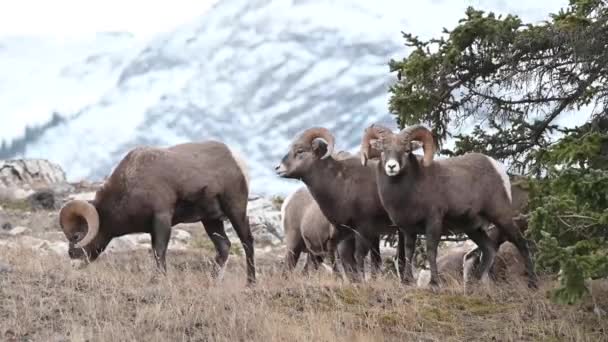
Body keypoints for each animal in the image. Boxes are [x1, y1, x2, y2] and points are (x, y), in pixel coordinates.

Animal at [57, 140, 256, 284]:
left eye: (76, 235)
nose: (72, 258)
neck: (130, 185)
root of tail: (236, 159)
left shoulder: (161, 219)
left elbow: (159, 251)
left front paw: (158, 280)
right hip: (210, 220)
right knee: (224, 247)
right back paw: (212, 282)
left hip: (235, 210)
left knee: (247, 242)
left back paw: (250, 283)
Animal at [276, 127, 404, 280]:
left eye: (300, 151)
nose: (278, 168)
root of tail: (287, 202)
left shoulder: (364, 233)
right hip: (295, 246)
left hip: (312, 254)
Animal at [360, 123, 536, 288]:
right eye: (383, 150)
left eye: (406, 150)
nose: (391, 166)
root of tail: (496, 167)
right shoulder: (408, 230)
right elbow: (409, 252)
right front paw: (407, 281)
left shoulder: (433, 222)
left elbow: (431, 251)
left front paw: (434, 283)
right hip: (473, 228)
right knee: (489, 250)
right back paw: (474, 285)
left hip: (501, 217)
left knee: (520, 243)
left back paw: (532, 283)